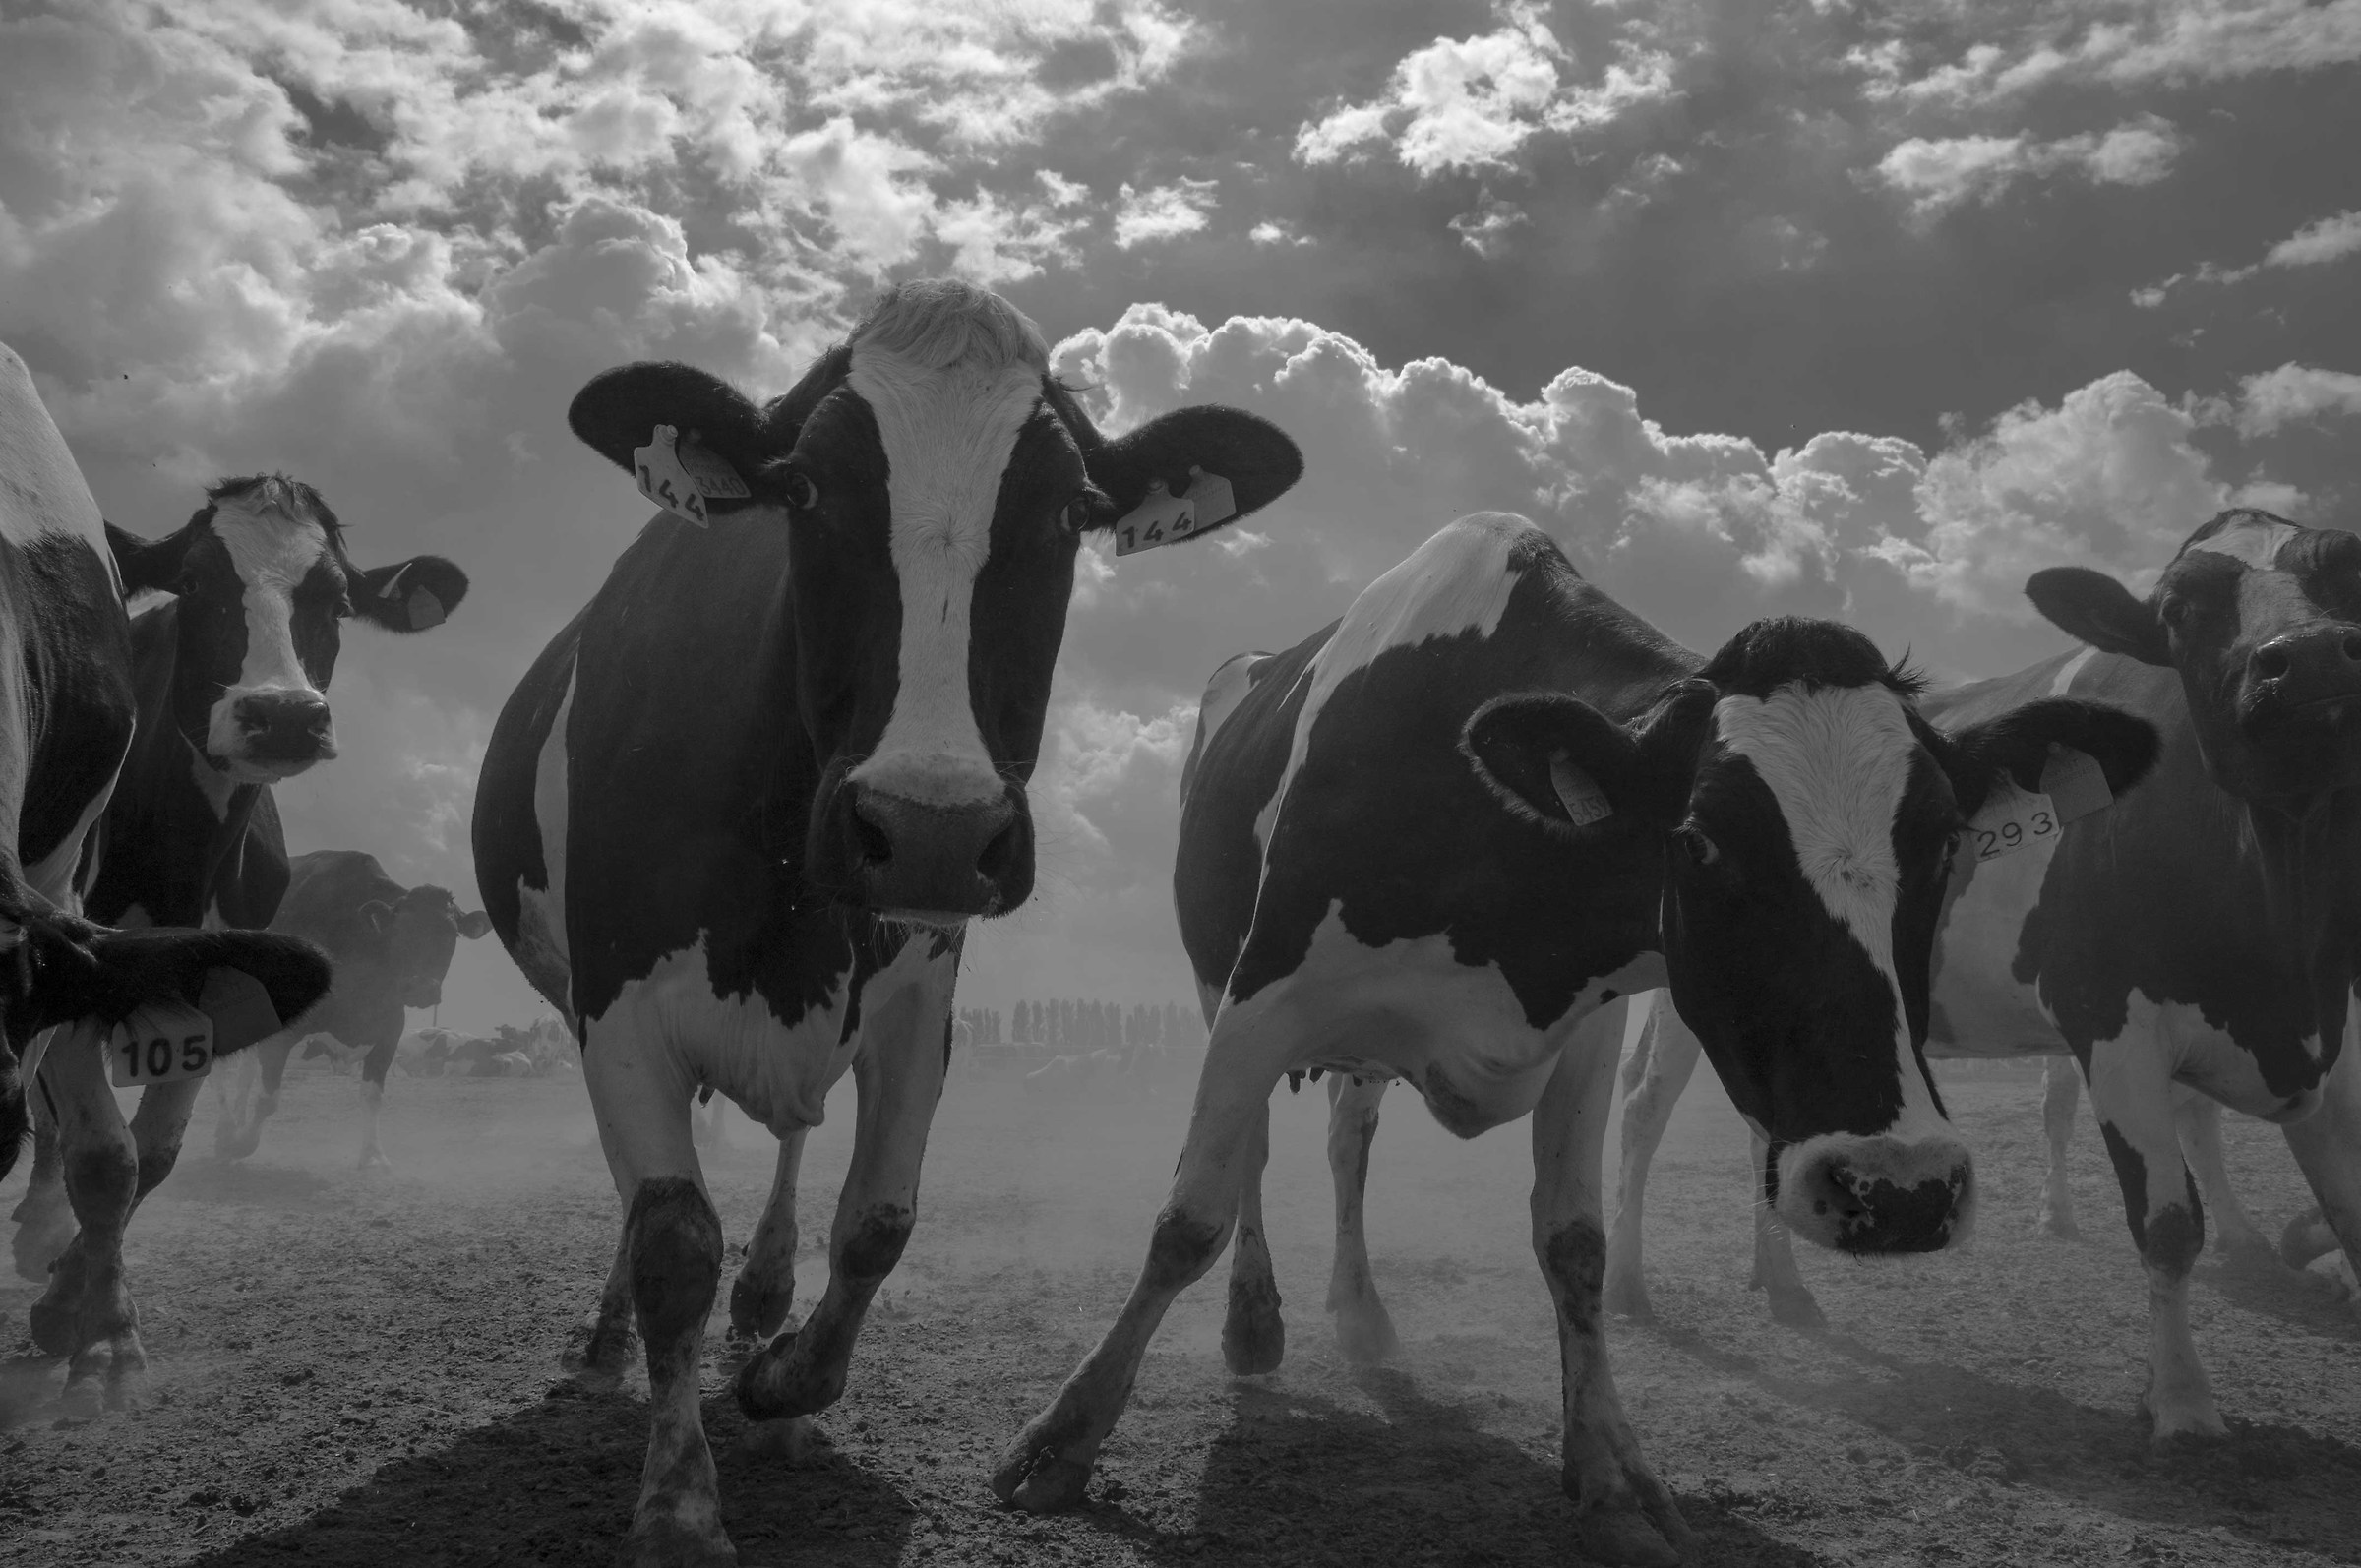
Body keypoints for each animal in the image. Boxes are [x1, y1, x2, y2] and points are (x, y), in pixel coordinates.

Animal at [0, 342, 331, 1414]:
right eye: (194, 583)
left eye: (337, 595)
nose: (282, 713)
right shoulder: (71, 924)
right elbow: (95, 1143)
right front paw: (90, 1320)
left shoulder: (193, 964)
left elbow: (143, 1154)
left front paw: (81, 1313)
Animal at [210, 850, 491, 1167]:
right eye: (400, 931)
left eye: (451, 935)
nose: (421, 987)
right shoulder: (286, 1030)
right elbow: (268, 1097)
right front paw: (240, 1144)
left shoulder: (390, 1029)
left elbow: (372, 1096)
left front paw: (373, 1155)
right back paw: (226, 1130)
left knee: (244, 1073)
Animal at [469, 278, 1304, 1567]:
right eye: (808, 488)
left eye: (1071, 510)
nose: (929, 829)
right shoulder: (612, 1003)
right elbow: (672, 1241)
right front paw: (678, 1500)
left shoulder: (920, 996)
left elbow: (876, 1224)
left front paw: (778, 1382)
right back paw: (614, 1341)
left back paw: (767, 1311)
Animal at [989, 512, 2161, 1565]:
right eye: (1699, 842)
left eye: (1947, 842)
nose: (1904, 1189)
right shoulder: (1258, 997)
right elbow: (1186, 1216)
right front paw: (1064, 1436)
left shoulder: (1588, 1032)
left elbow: (1575, 1248)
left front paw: (1610, 1474)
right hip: (1216, 982)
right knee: (1256, 1166)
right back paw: (1254, 1325)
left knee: (1346, 1147)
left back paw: (1361, 1318)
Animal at [1604, 507, 2361, 1442]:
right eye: (2180, 609)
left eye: (2350, 571)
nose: (2315, 655)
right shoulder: (2109, 1017)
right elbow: (2167, 1221)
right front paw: (2183, 1400)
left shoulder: (2332, 1031)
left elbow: (2345, 1207)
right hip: (1692, 998)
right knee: (1644, 1111)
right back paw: (1628, 1283)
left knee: (1765, 1128)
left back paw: (1782, 1283)